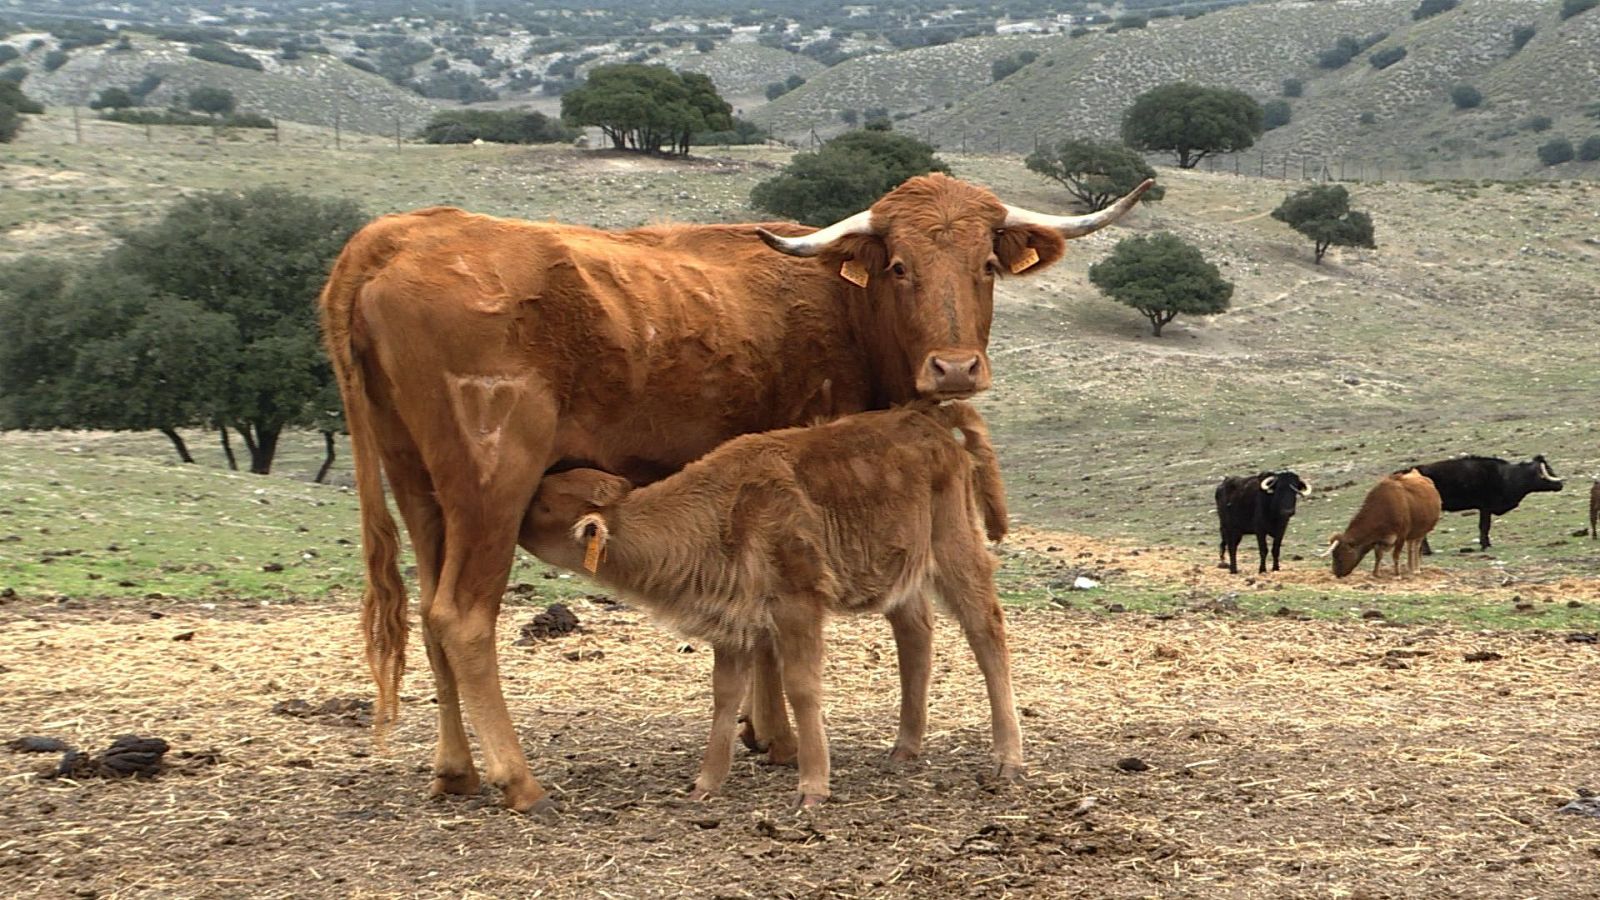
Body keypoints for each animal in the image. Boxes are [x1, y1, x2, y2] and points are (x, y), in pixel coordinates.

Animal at [524, 400, 1024, 807]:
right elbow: (724, 694)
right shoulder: (731, 619)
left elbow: (801, 686)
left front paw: (812, 787)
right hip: (903, 570)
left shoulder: (797, 607)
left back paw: (1007, 759)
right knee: (915, 633)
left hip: (955, 549)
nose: (519, 509)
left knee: (986, 630)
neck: (720, 509)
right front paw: (705, 784)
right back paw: (904, 748)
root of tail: (927, 419)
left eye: (546, 506)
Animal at [1318, 470, 1446, 573]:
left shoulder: (1401, 536)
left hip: (1422, 531)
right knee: (1411, 547)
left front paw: (1397, 574)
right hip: (1413, 533)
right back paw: (1410, 568)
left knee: (1416, 547)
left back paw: (1416, 569)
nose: (1335, 572)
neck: (1384, 507)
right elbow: (1378, 556)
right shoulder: (1378, 540)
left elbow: (1395, 555)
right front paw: (1376, 573)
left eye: (1339, 554)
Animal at [1414, 451, 1561, 550]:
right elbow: (1484, 526)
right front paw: (1485, 545)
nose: (1561, 484)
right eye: (1548, 469)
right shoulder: (1485, 507)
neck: (1508, 476)